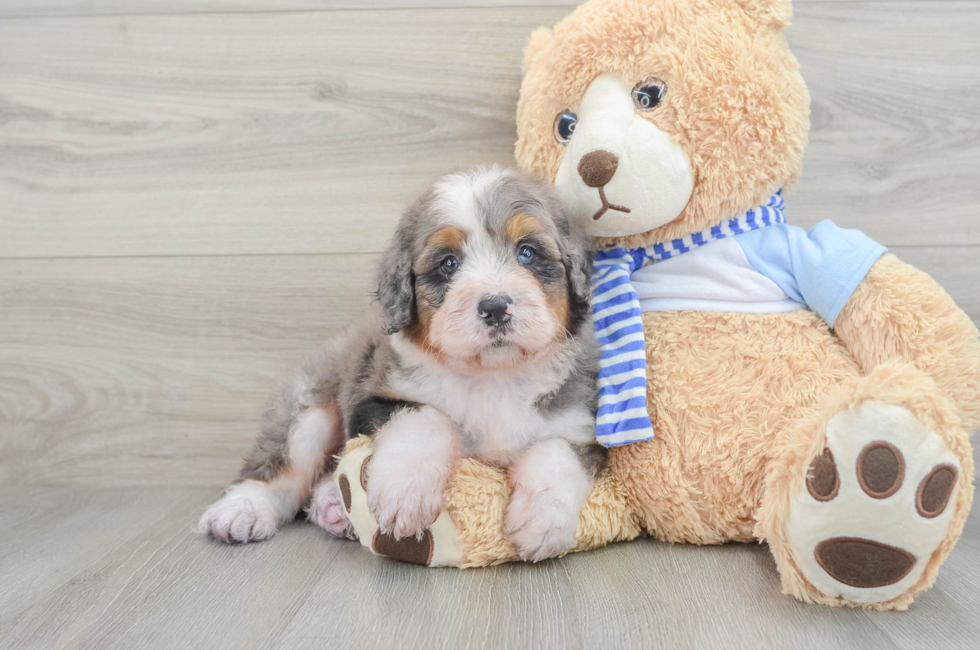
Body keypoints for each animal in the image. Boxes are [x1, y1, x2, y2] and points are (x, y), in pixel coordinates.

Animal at [197, 165, 604, 560]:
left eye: (527, 253)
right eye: (448, 263)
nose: (495, 307)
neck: (493, 376)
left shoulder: (579, 424)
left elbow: (555, 452)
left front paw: (542, 521)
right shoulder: (375, 401)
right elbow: (427, 419)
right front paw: (404, 494)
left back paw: (332, 507)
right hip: (309, 407)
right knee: (278, 466)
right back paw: (242, 510)